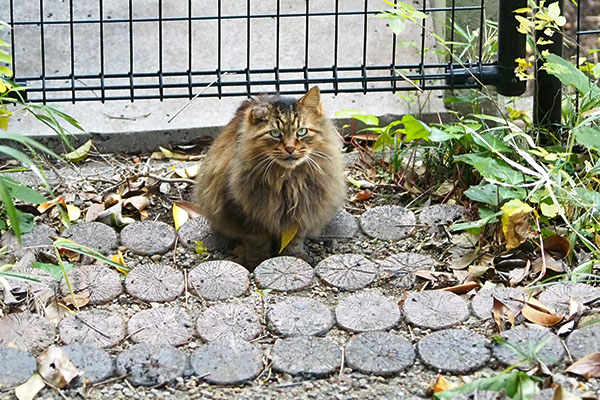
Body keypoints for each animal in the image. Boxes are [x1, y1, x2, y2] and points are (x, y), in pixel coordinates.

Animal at [196, 87, 344, 268]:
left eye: (301, 131)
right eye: (275, 134)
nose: (290, 148)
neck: (287, 180)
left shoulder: (301, 210)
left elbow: (294, 241)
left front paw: (294, 257)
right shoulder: (248, 215)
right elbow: (257, 243)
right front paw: (257, 262)